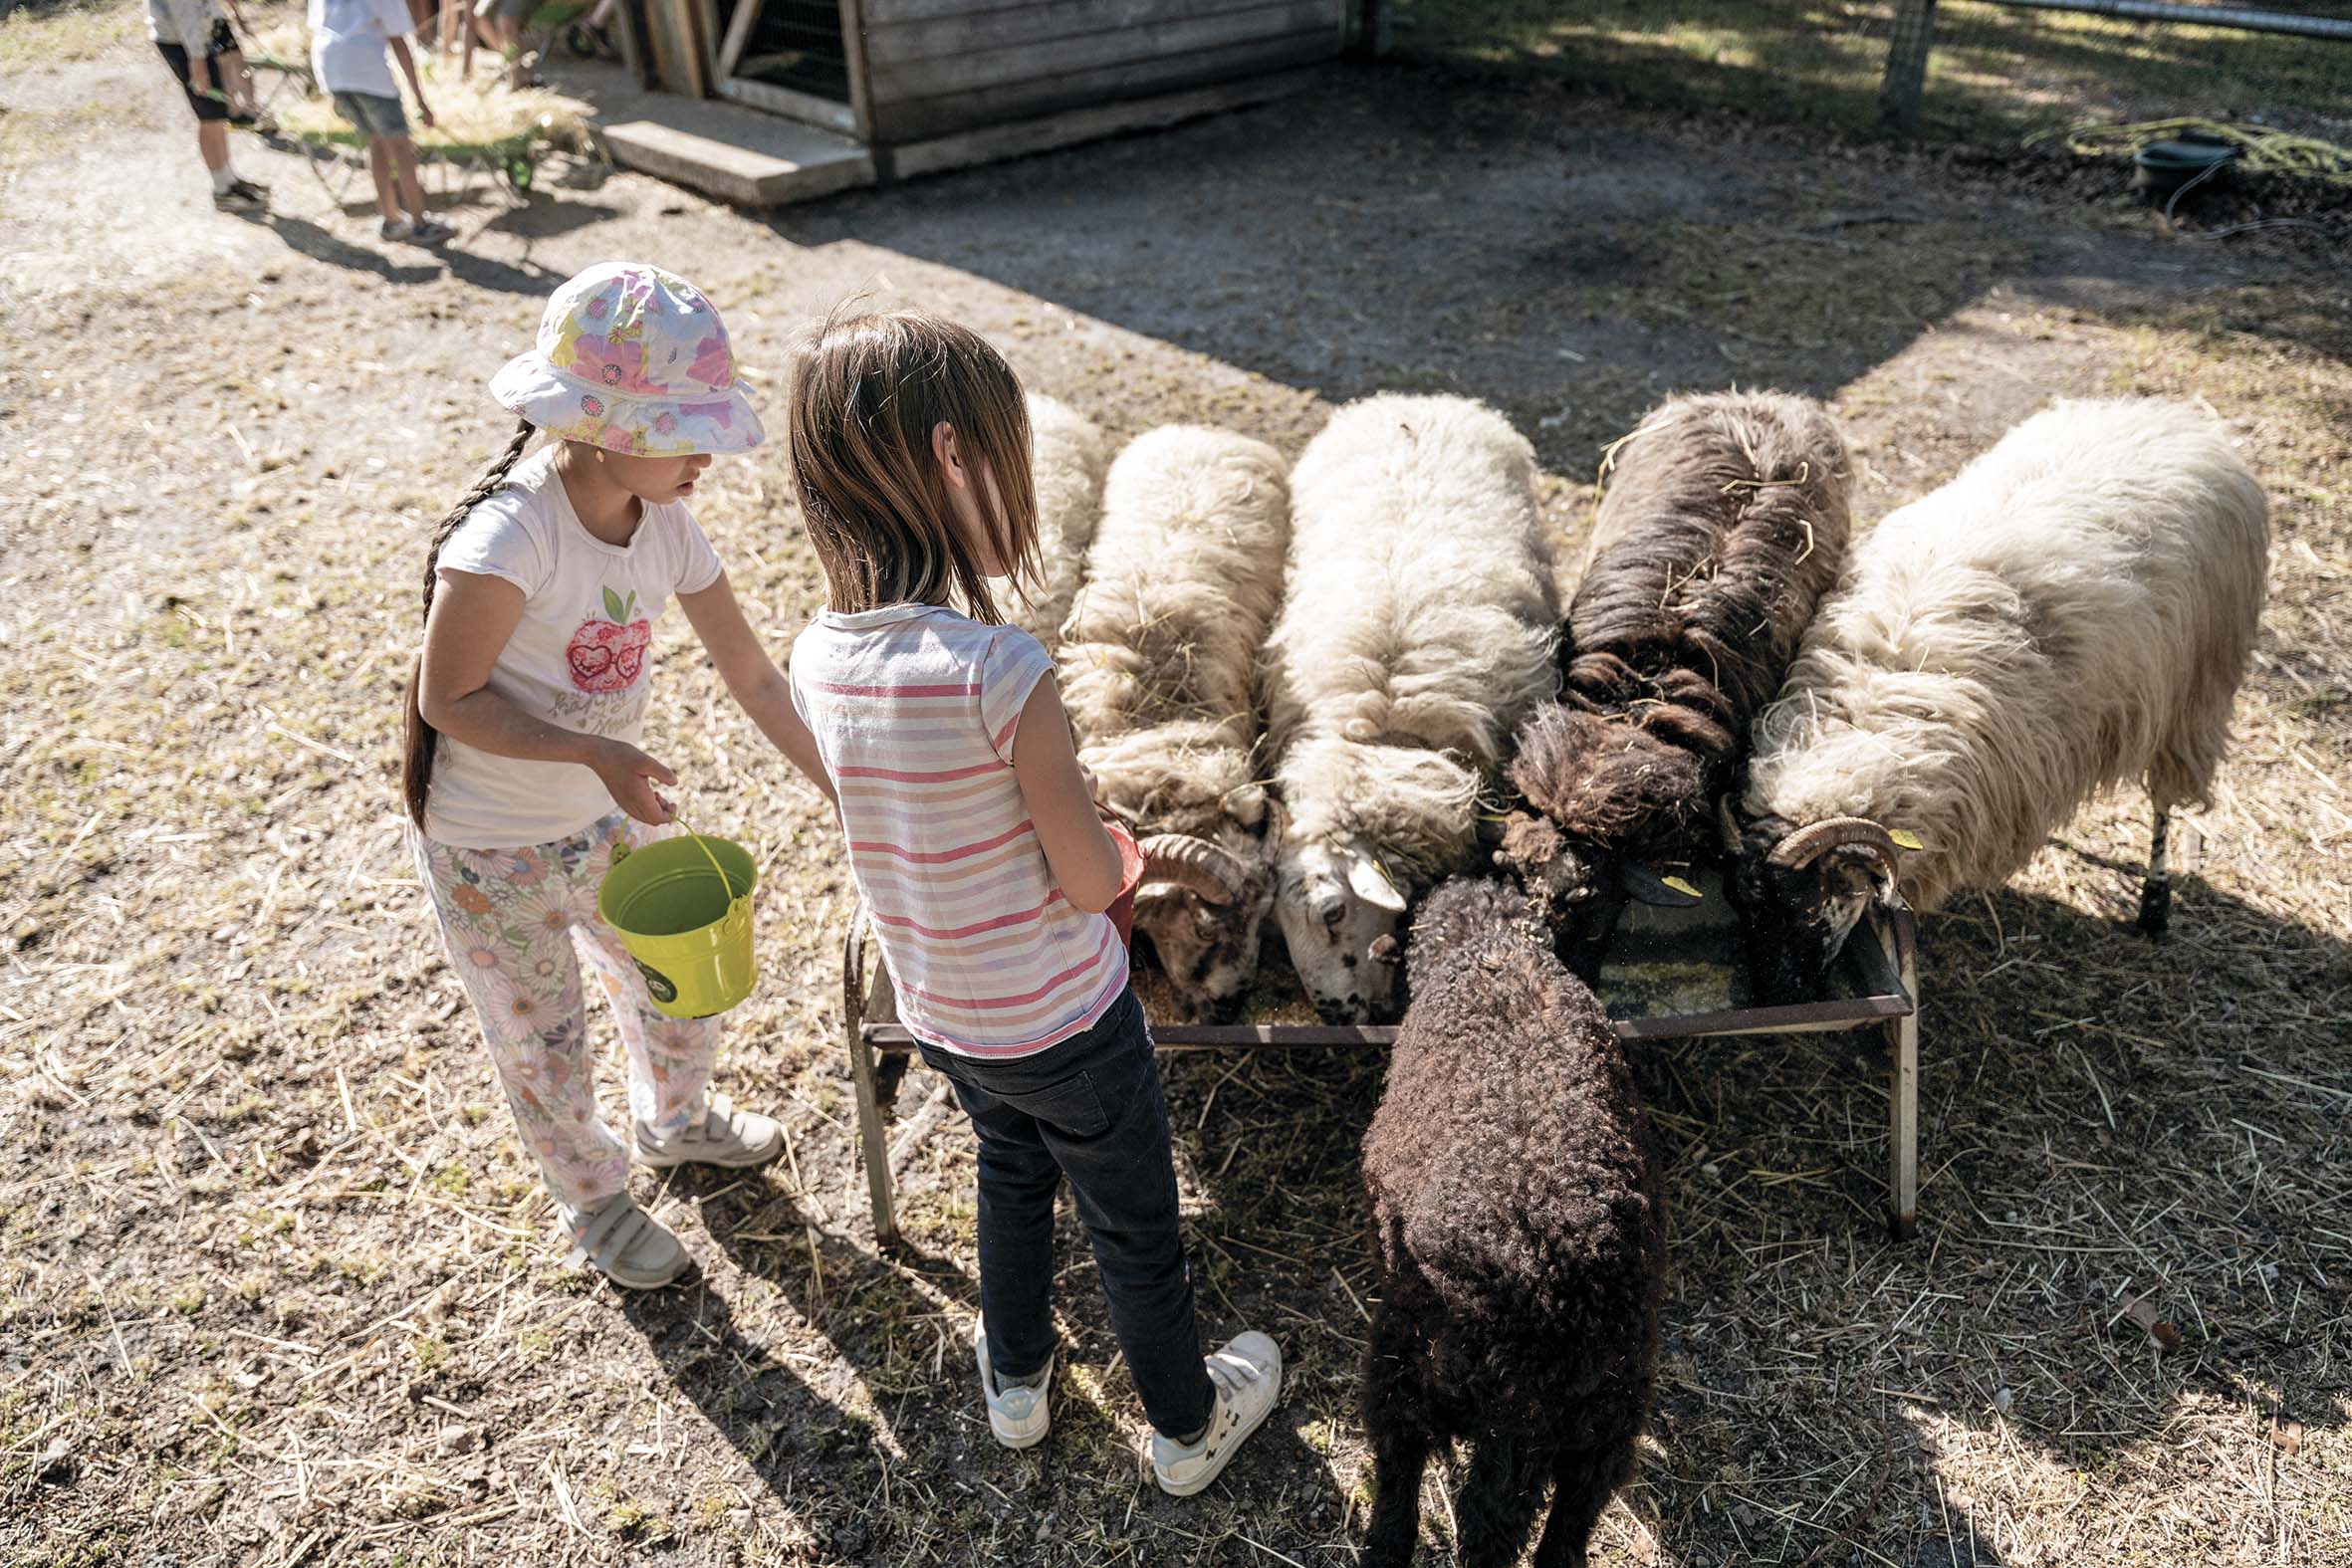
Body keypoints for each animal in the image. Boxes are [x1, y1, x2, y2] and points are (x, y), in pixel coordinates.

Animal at [1740, 399, 2266, 1001]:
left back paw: (2154, 908)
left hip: (2198, 683)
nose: (1779, 997)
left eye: (1806, 910)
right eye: (1748, 910)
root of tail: (2171, 415)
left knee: (2164, 797)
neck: (1873, 702)